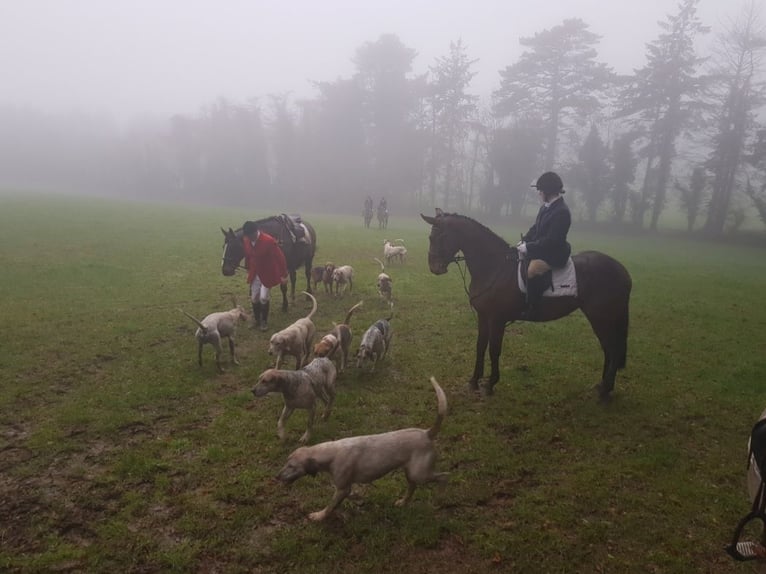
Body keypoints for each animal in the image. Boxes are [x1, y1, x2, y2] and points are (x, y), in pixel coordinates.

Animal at [424, 209, 632, 402]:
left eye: (439, 237)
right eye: (430, 237)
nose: (434, 268)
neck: (494, 267)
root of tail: (622, 270)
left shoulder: (497, 319)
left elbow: (494, 350)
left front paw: (490, 384)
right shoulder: (483, 316)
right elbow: (480, 346)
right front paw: (474, 381)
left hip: (602, 318)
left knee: (612, 350)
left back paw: (605, 390)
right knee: (608, 350)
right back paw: (602, 386)